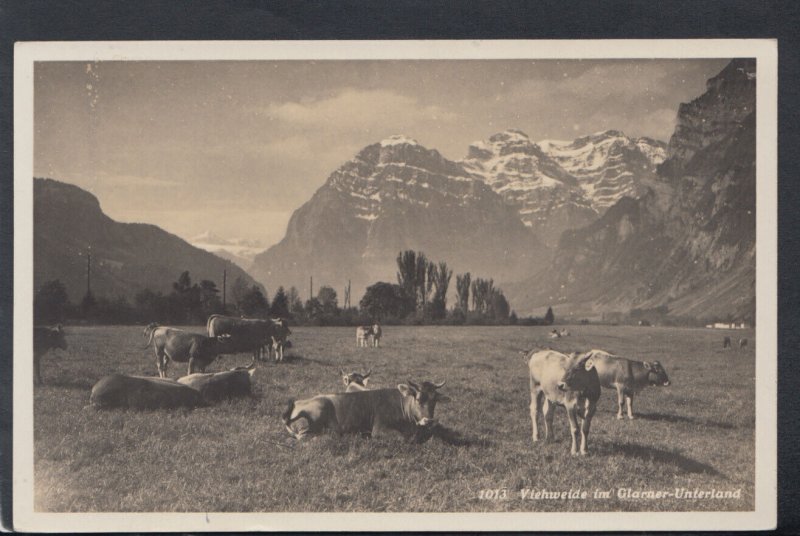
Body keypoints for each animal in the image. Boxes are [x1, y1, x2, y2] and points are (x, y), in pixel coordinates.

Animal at [284, 376, 450, 440]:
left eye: (435, 400)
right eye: (418, 398)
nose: (429, 421)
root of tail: (297, 402)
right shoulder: (379, 429)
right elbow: (402, 437)